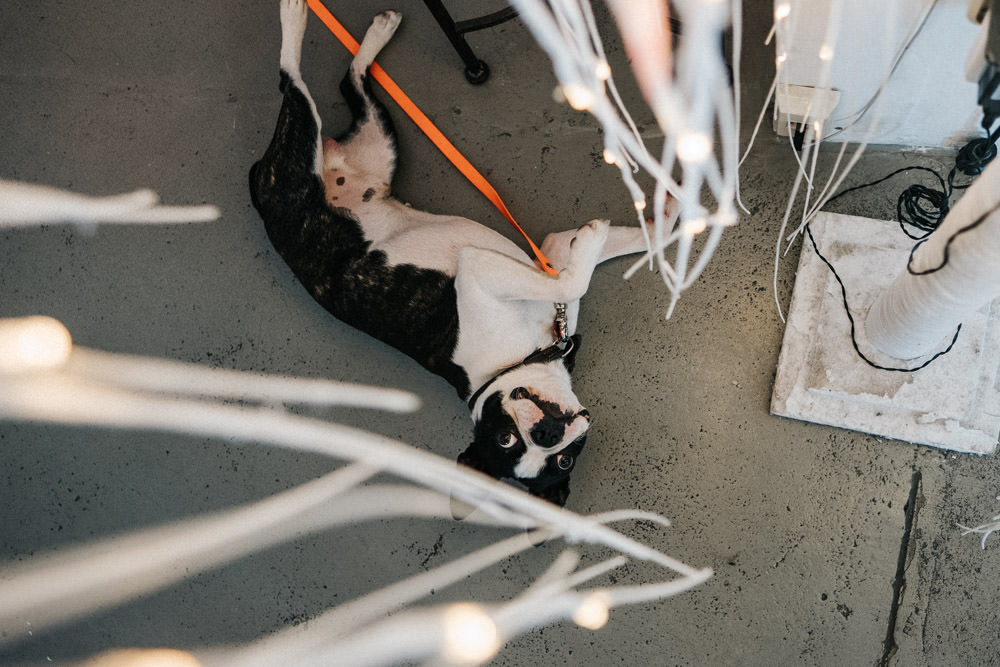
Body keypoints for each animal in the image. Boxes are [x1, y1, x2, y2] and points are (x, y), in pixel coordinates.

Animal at [250, 1, 672, 506]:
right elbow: (577, 274)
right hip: (294, 165)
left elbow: (636, 242)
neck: (521, 358)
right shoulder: (481, 273)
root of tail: (258, 188)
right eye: (508, 441)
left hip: (379, 146)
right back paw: (294, 17)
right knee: (290, 82)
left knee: (349, 82)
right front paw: (602, 237)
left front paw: (676, 214)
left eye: (563, 461)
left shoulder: (547, 254)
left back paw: (376, 33)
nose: (549, 434)